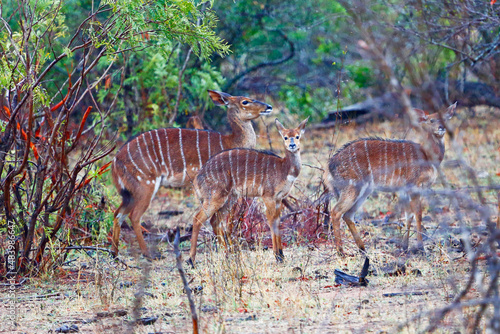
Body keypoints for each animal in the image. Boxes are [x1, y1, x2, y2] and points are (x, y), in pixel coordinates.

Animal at [111, 90, 272, 258]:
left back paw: (115, 253)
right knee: (134, 216)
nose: (268, 107)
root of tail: (116, 160)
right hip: (145, 186)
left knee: (118, 214)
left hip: (129, 192)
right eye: (245, 101)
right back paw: (149, 254)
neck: (232, 142)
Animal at [189, 117, 308, 264]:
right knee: (197, 218)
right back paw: (191, 260)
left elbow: (278, 221)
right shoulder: (268, 196)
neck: (284, 169)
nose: (292, 145)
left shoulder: (279, 198)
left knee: (214, 221)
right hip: (215, 197)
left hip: (230, 198)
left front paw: (281, 254)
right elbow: (271, 221)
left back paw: (228, 255)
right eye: (285, 137)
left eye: (297, 136)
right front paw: (278, 256)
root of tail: (197, 178)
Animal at [324, 103, 458, 254]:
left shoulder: (404, 190)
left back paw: (362, 248)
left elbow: (408, 216)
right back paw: (341, 251)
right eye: (431, 120)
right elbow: (418, 214)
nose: (441, 127)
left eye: (445, 118)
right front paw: (420, 248)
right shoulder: (414, 185)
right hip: (352, 186)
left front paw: (405, 246)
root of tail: (329, 167)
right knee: (336, 212)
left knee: (348, 214)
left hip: (364, 190)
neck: (427, 156)